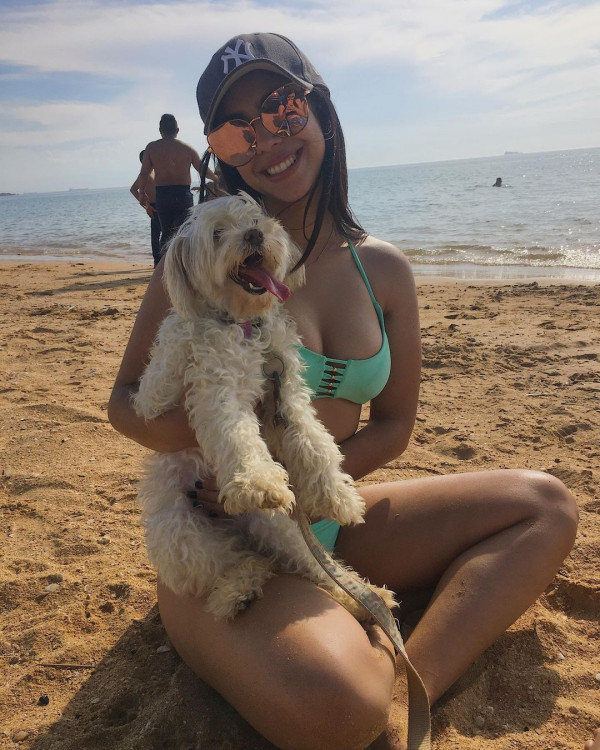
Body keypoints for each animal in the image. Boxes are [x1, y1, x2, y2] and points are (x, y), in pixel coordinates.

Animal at [133, 193, 396, 620]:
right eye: (217, 233)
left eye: (255, 220)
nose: (255, 235)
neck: (243, 324)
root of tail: (240, 529)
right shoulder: (218, 392)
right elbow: (238, 436)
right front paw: (257, 482)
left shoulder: (287, 391)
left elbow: (315, 441)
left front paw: (335, 495)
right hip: (181, 534)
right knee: (236, 564)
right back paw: (238, 590)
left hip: (280, 528)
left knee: (310, 565)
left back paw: (368, 597)